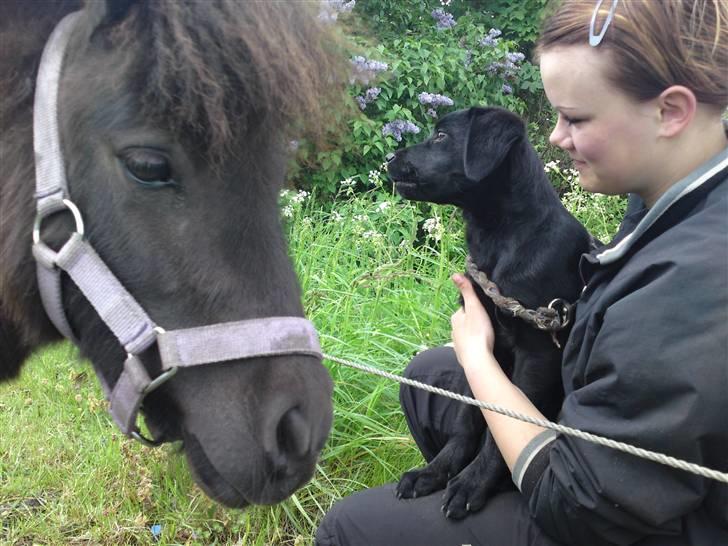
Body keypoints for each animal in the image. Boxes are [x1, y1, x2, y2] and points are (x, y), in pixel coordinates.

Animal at [386, 106, 592, 520]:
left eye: (441, 137)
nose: (388, 159)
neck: (502, 239)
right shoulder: (482, 342)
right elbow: (471, 413)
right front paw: (437, 471)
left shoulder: (537, 355)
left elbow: (504, 424)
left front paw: (471, 483)